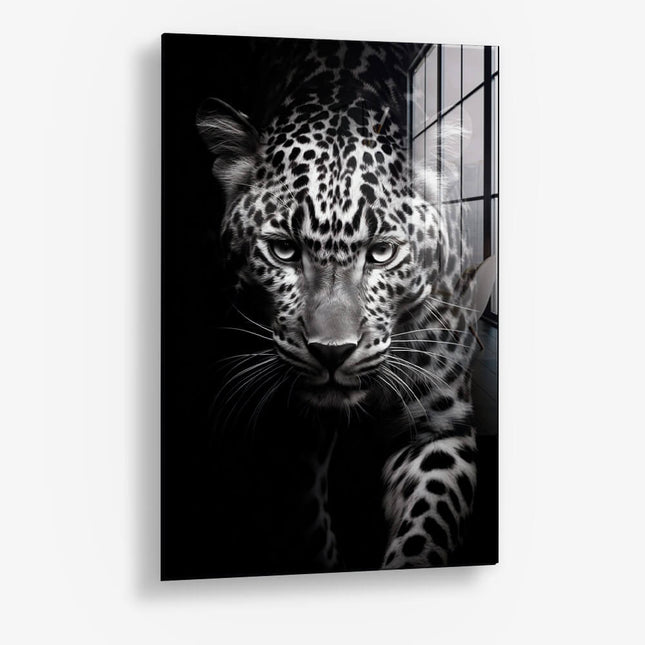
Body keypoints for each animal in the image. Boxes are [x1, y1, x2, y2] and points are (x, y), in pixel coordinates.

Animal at [197, 38, 488, 572]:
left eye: (382, 252)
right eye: (284, 250)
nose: (332, 352)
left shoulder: (440, 427)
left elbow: (427, 529)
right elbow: (304, 519)